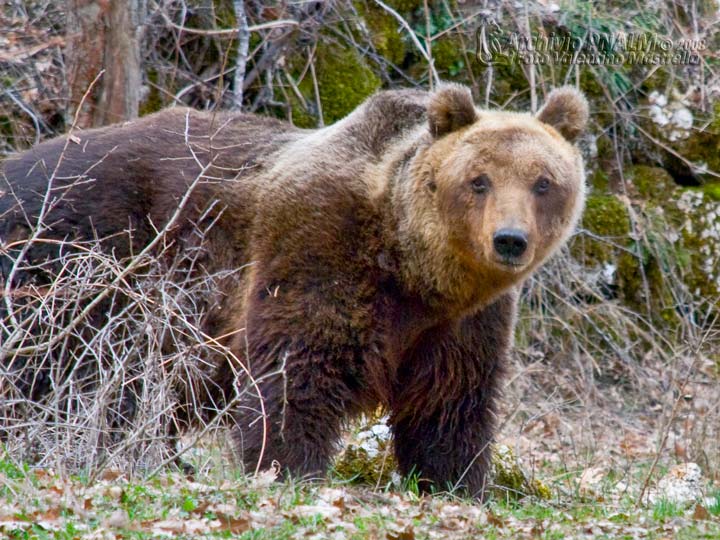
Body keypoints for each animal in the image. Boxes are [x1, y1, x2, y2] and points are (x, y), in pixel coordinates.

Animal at [0, 83, 584, 494]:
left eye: (543, 182)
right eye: (479, 180)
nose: (509, 240)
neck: (411, 265)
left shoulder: (459, 322)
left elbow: (451, 401)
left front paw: (456, 480)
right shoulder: (318, 246)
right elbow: (297, 371)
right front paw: (288, 466)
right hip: (81, 257)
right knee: (66, 371)